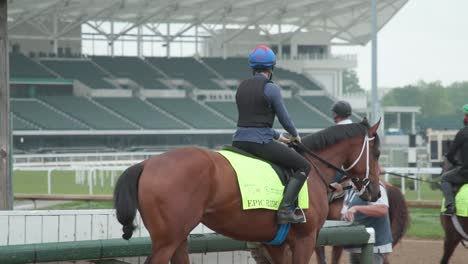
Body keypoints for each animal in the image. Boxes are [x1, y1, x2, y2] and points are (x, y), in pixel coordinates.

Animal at [115, 120, 382, 264]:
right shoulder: (305, 240)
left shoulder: (274, 244)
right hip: (167, 240)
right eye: (377, 153)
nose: (375, 192)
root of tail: (147, 163)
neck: (314, 168)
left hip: (178, 238)